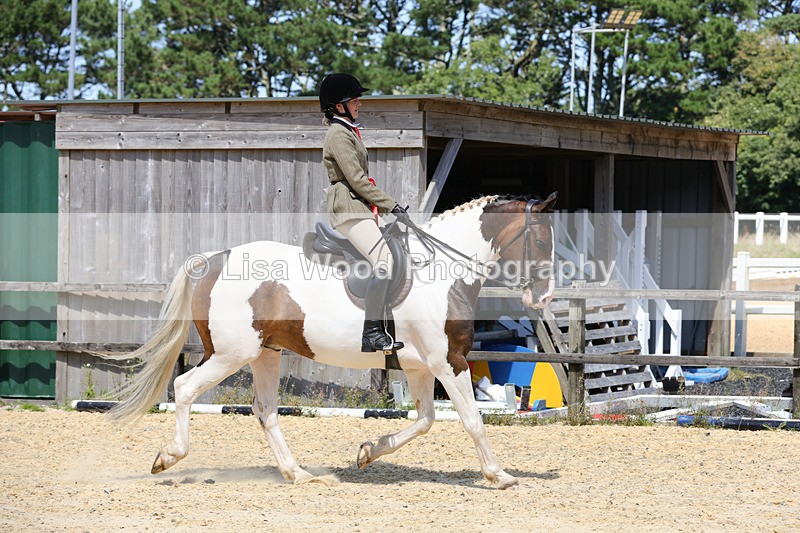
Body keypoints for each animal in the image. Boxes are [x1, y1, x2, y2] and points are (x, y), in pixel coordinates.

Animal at [105, 192, 558, 489]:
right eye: (541, 240)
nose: (544, 297)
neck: (442, 270)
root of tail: (216, 259)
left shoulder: (420, 365)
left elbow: (426, 420)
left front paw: (368, 451)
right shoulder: (450, 361)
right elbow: (472, 420)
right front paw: (499, 475)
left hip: (265, 353)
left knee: (265, 410)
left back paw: (297, 473)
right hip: (231, 354)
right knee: (185, 388)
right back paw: (168, 457)